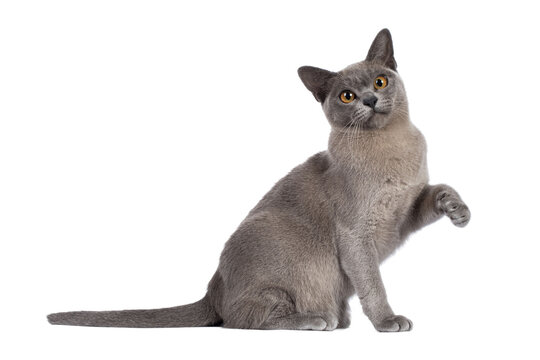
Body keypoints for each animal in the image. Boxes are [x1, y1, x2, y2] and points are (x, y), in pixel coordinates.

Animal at [46, 29, 468, 334]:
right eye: (347, 95)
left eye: (380, 82)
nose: (369, 100)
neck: (394, 148)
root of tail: (212, 290)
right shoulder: (356, 235)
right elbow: (373, 285)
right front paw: (387, 321)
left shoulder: (404, 213)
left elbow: (436, 192)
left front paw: (458, 210)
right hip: (277, 240)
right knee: (242, 318)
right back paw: (319, 319)